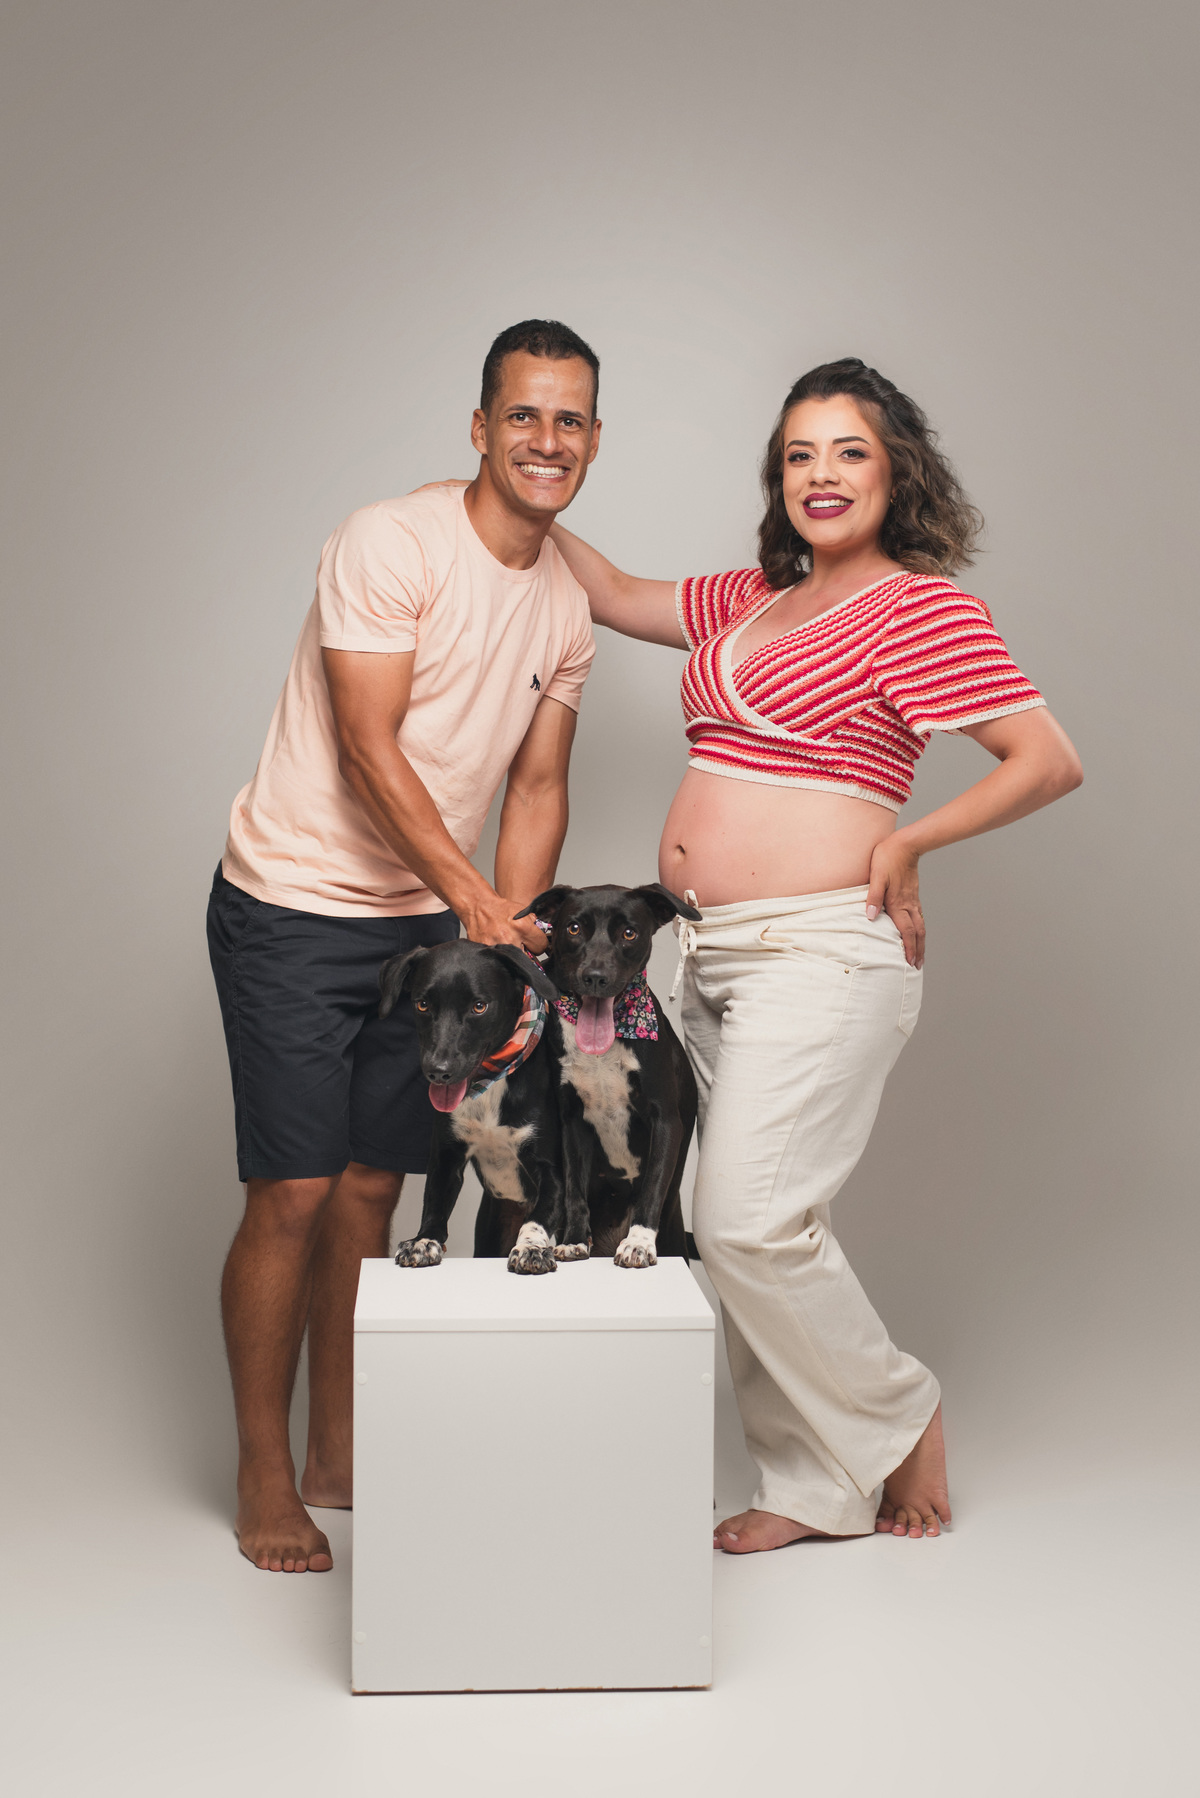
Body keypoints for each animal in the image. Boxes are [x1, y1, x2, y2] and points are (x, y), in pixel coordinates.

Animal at [377, 939, 573, 1275]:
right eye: (422, 1004)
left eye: (479, 1006)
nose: (438, 1071)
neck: (489, 1084)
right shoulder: (446, 1157)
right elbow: (434, 1203)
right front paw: (422, 1240)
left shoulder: (552, 1171)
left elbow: (538, 1217)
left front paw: (531, 1248)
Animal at [515, 883, 702, 1268]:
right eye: (573, 928)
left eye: (629, 933)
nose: (596, 977)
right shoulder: (572, 1121)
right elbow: (573, 1189)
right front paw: (573, 1241)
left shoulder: (666, 1120)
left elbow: (651, 1189)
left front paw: (639, 1244)